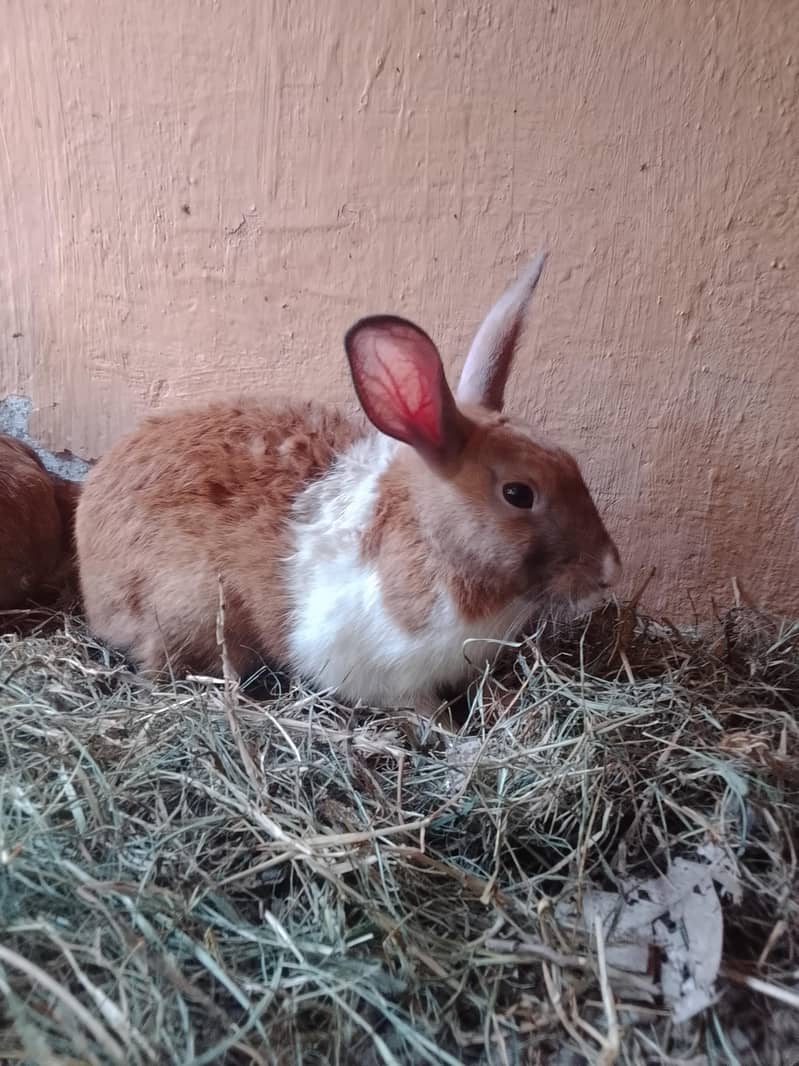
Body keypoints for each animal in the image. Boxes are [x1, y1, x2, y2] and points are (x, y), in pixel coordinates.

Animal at [76, 253, 621, 714]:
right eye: (518, 494)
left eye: (572, 462)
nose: (610, 571)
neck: (433, 547)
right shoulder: (382, 671)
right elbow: (420, 706)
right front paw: (446, 732)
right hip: (194, 611)